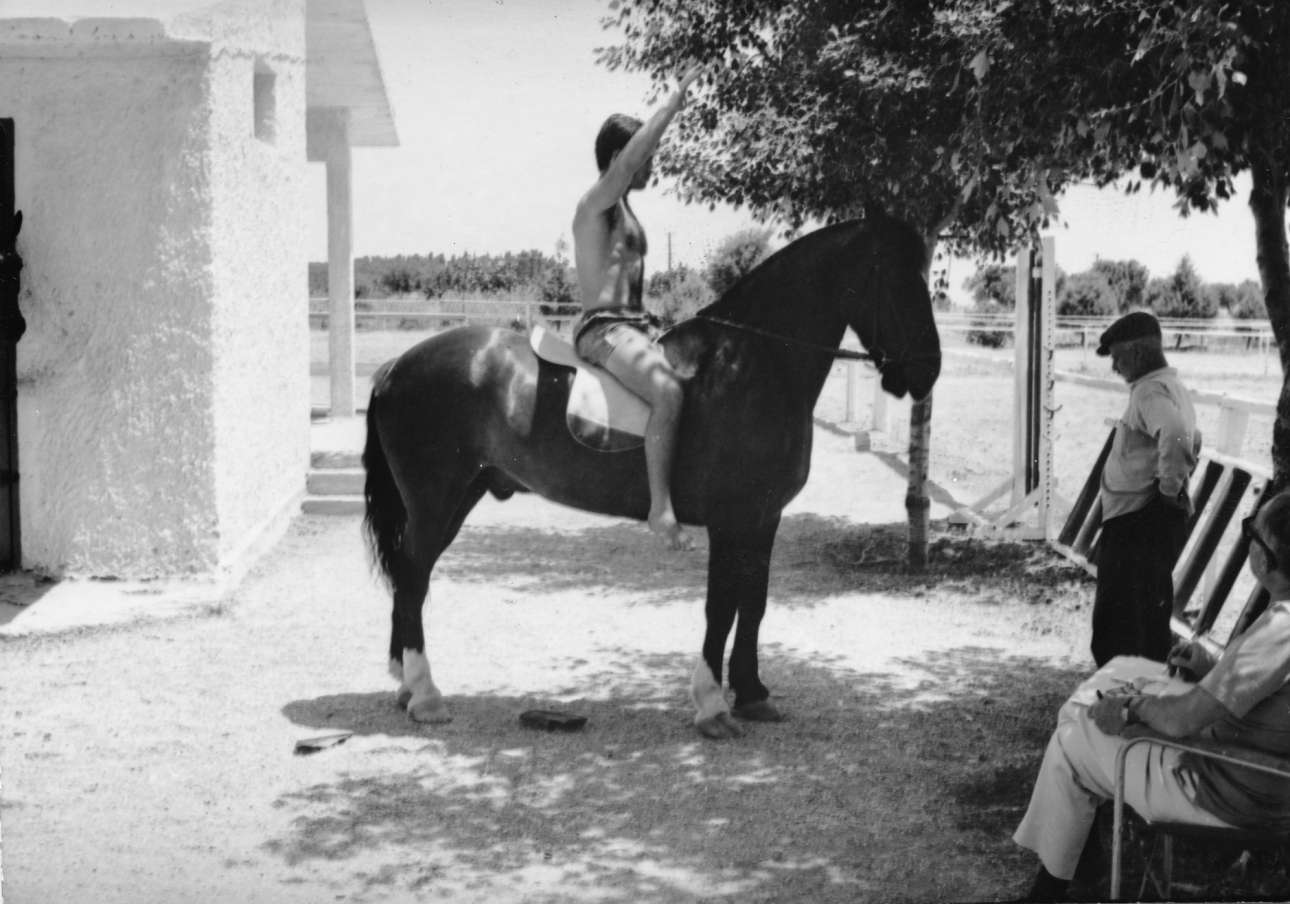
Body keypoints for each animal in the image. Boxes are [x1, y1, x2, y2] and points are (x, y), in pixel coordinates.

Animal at [361, 212, 939, 742]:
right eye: (894, 276)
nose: (928, 369)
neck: (747, 365)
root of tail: (394, 367)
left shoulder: (762, 519)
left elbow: (753, 603)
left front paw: (752, 694)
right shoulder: (732, 522)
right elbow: (721, 606)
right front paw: (712, 706)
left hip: (461, 497)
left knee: (412, 576)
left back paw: (408, 685)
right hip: (436, 501)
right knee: (412, 575)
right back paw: (425, 696)